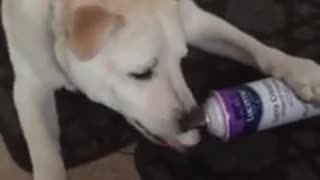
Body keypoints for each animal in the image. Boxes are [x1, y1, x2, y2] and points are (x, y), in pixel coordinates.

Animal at [2, 0, 320, 180]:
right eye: (141, 73)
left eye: (181, 60)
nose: (195, 120)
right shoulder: (29, 86)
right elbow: (45, 154)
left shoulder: (193, 18)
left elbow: (251, 44)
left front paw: (300, 70)